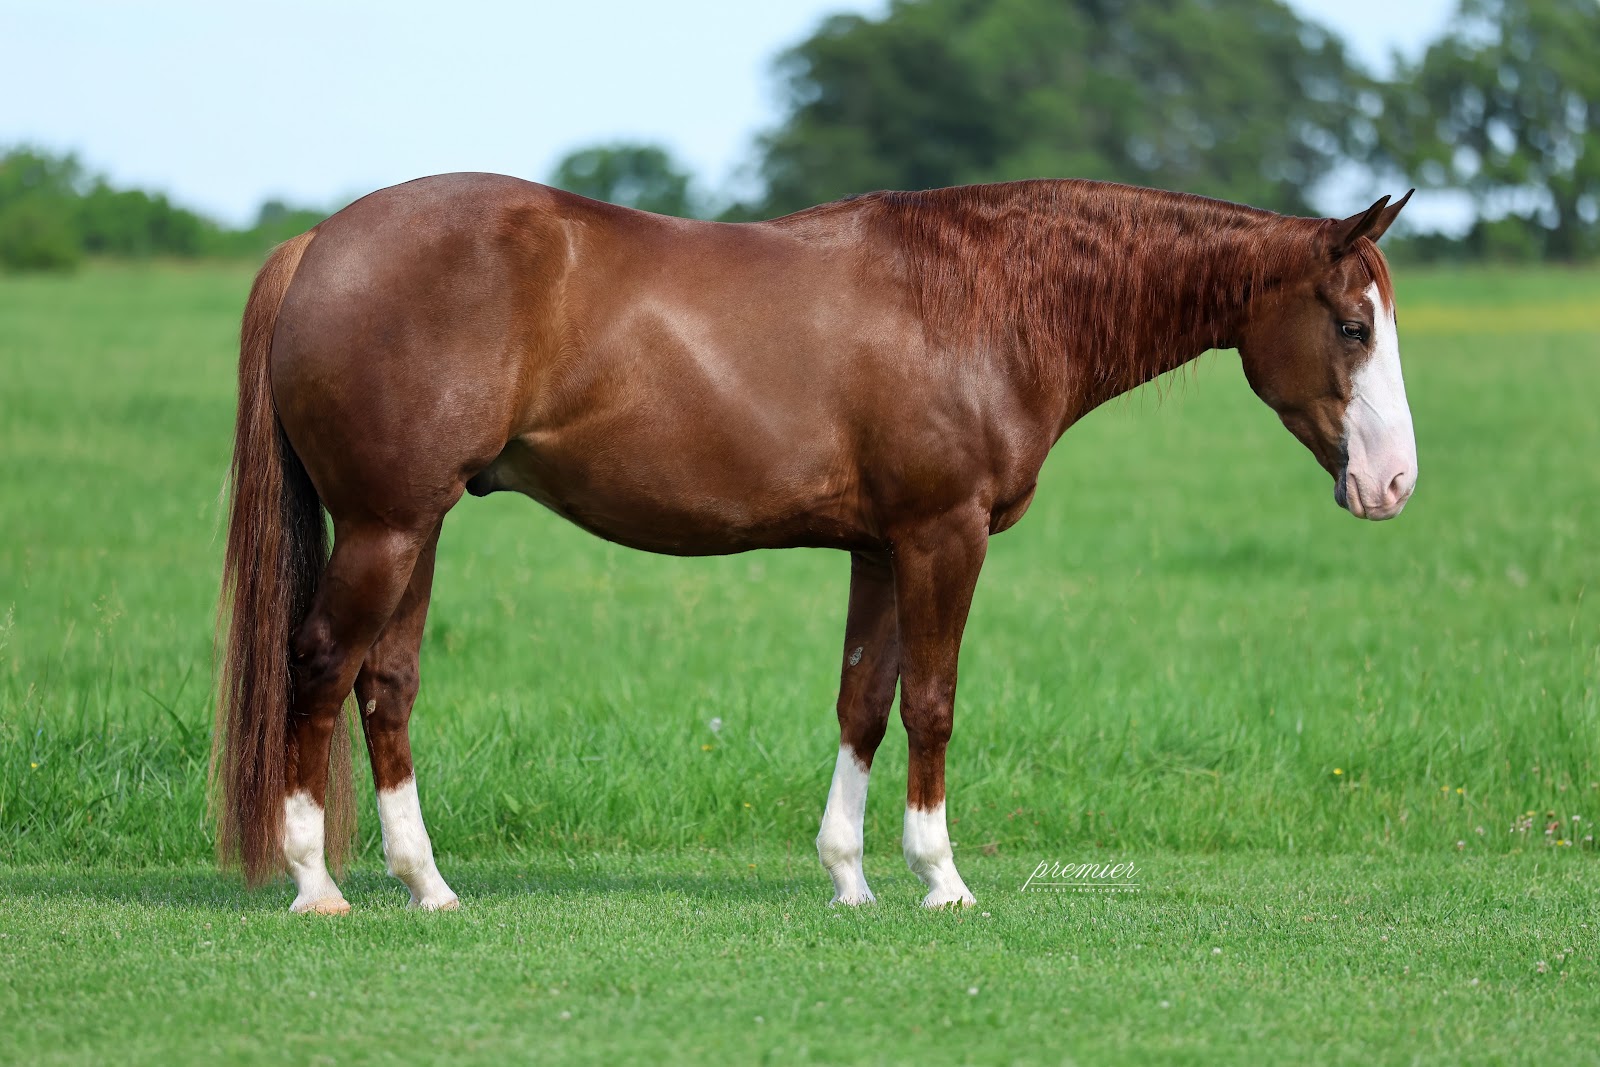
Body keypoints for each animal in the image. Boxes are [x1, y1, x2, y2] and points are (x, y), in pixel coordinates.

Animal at [212, 175, 1416, 912]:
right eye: (1352, 324)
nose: (1392, 483)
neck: (980, 300)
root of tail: (321, 241)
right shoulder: (943, 535)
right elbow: (931, 700)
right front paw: (941, 877)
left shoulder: (881, 548)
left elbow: (864, 699)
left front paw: (850, 876)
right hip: (386, 528)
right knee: (319, 666)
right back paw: (316, 882)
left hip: (418, 526)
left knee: (386, 684)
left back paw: (428, 884)